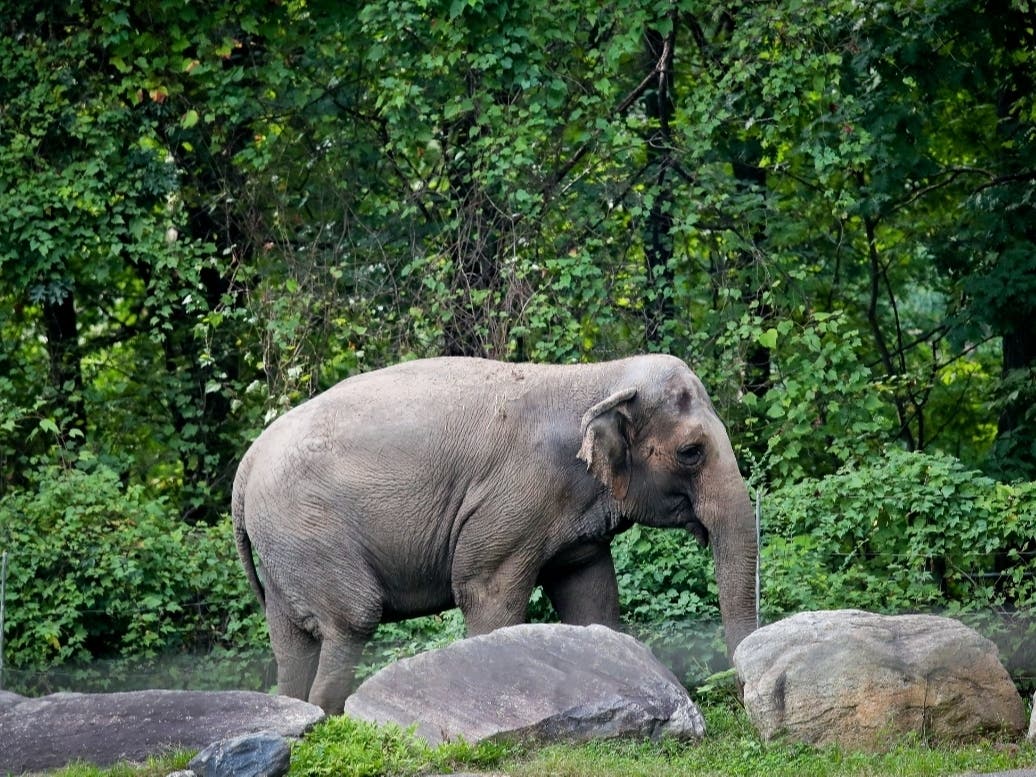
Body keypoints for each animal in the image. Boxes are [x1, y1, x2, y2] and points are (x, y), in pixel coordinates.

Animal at [232, 354, 757, 714]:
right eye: (691, 452)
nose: (738, 693)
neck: (597, 377)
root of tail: (247, 464)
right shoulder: (514, 500)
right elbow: (487, 594)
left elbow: (591, 597)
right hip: (310, 531)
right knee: (351, 620)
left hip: (284, 547)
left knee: (291, 643)